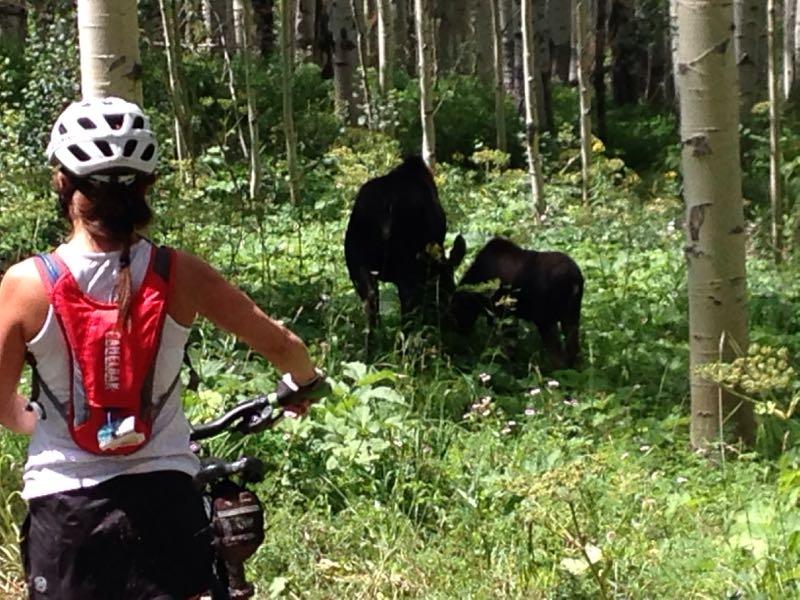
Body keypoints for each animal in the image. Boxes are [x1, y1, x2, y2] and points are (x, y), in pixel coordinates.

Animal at [344, 156, 466, 351]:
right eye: (449, 289)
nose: (451, 324)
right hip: (406, 268)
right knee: (407, 310)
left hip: (357, 265)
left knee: (370, 306)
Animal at [448, 237, 584, 369]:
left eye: (456, 309)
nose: (459, 332)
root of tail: (575, 282)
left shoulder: (502, 313)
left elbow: (508, 347)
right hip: (571, 314)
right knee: (574, 349)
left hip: (546, 318)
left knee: (559, 356)